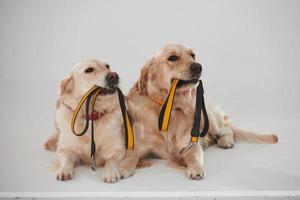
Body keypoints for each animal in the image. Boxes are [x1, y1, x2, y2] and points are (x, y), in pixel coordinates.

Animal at [118, 43, 278, 180]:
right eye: (173, 58)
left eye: (192, 55)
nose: (198, 67)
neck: (172, 108)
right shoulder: (140, 144)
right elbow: (131, 155)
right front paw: (123, 167)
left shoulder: (190, 144)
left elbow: (195, 154)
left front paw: (196, 169)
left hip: (208, 119)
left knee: (227, 129)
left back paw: (225, 141)